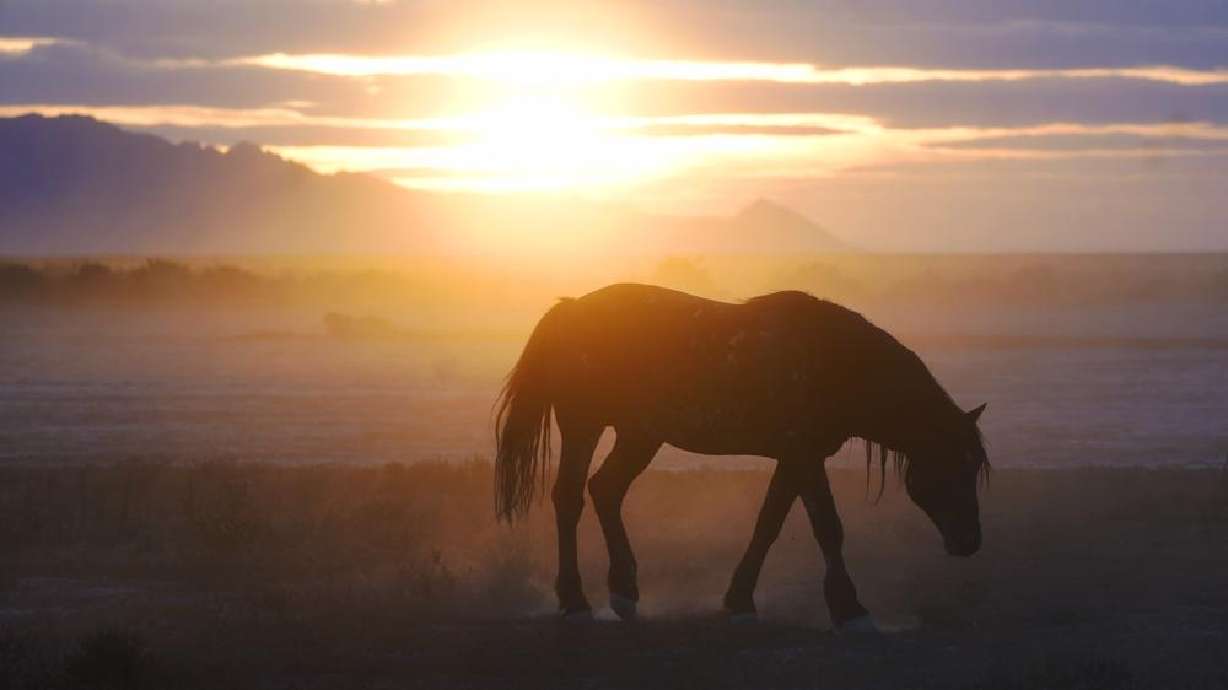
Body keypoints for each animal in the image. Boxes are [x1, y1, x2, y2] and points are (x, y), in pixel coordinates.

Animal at [494, 283, 988, 630]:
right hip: (585, 425)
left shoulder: (796, 457)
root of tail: (571, 308)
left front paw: (740, 600)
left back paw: (625, 592)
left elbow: (768, 524)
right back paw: (575, 601)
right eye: (953, 467)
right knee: (570, 498)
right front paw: (849, 609)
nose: (970, 543)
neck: (834, 361)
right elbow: (828, 529)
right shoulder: (804, 455)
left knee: (606, 490)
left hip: (640, 435)